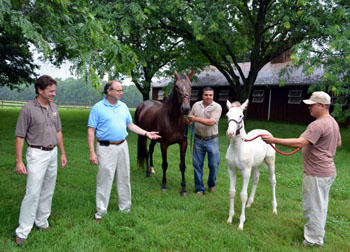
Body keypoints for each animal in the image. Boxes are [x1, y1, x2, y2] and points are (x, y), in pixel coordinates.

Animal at [226, 99, 278, 229]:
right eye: (227, 115)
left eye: (241, 116)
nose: (230, 133)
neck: (238, 148)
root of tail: (264, 131)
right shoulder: (231, 170)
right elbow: (232, 193)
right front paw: (230, 218)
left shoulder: (245, 171)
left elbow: (242, 195)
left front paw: (241, 223)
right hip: (254, 165)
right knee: (256, 178)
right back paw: (250, 203)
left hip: (270, 161)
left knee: (272, 180)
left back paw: (274, 208)